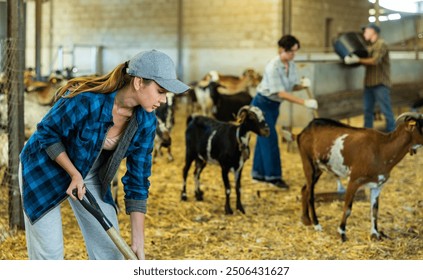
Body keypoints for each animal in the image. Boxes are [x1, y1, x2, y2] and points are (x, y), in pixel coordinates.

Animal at [296, 112, 423, 242]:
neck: (381, 149)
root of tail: (305, 130)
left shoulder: (377, 185)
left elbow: (374, 210)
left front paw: (375, 234)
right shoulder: (354, 180)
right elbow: (347, 208)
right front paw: (341, 233)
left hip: (319, 169)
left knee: (305, 189)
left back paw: (306, 220)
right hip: (308, 162)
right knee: (310, 194)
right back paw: (317, 225)